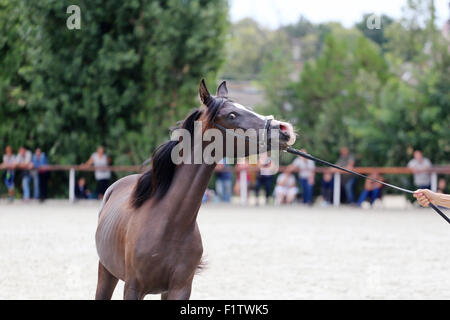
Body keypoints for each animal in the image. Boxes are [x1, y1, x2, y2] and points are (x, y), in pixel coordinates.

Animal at [94, 79, 296, 298]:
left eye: (248, 109)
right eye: (232, 115)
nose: (285, 129)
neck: (169, 223)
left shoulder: (180, 288)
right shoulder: (133, 287)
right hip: (106, 272)